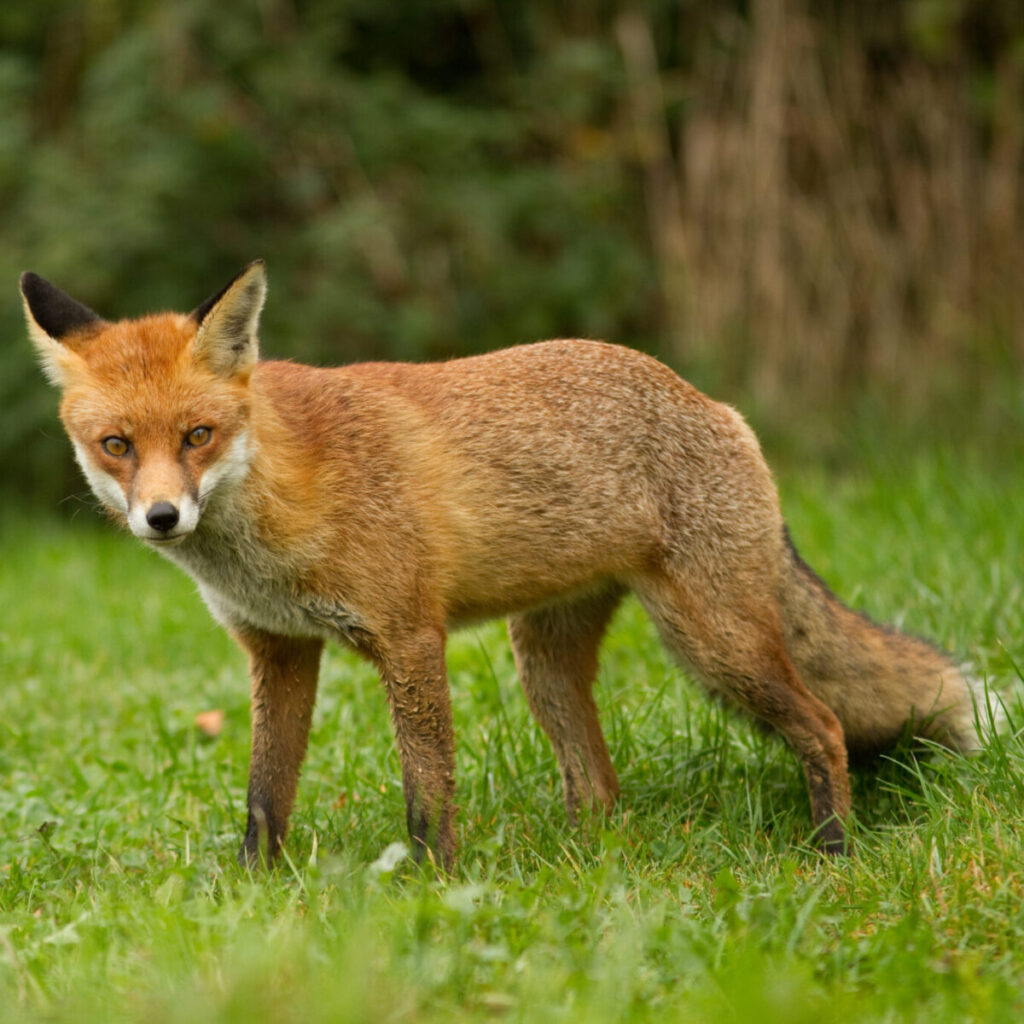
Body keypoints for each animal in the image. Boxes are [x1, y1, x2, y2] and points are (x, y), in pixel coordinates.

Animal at [21, 259, 980, 868]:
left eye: (197, 435)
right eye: (116, 445)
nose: (161, 517)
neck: (274, 514)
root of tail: (713, 403)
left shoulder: (409, 635)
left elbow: (427, 791)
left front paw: (434, 888)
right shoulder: (280, 650)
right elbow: (265, 796)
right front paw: (254, 893)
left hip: (715, 643)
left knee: (823, 723)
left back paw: (832, 853)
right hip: (545, 663)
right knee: (599, 786)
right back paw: (590, 869)